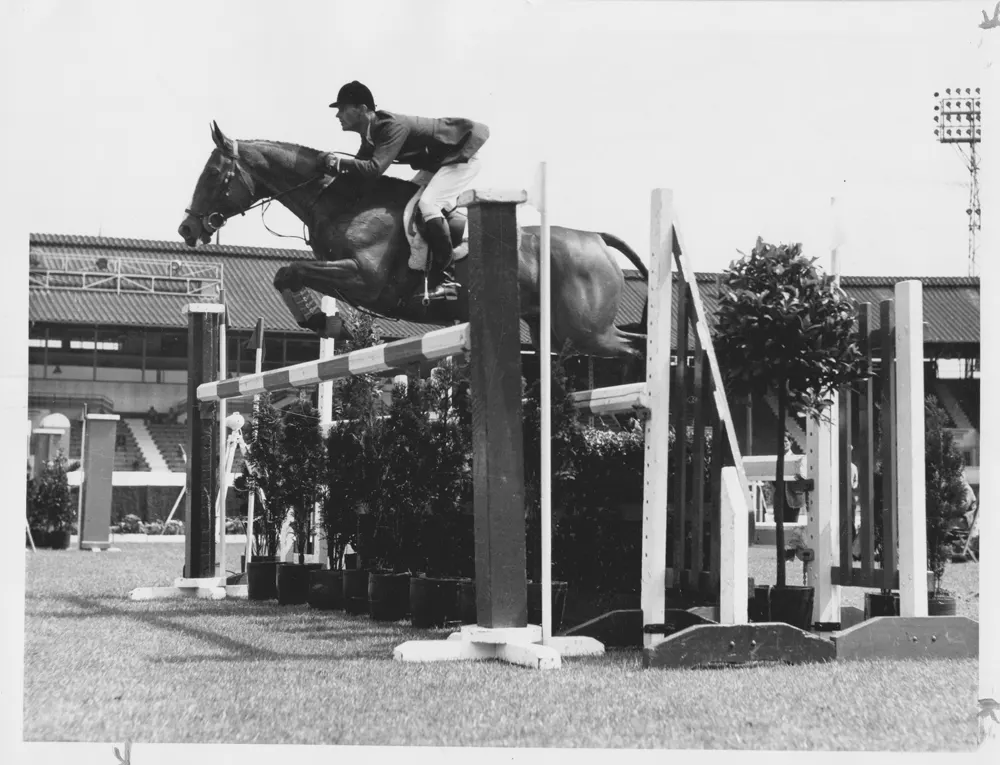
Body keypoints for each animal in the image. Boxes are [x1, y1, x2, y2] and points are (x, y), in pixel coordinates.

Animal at [179, 121, 648, 360]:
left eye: (213, 174)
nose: (187, 230)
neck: (344, 200)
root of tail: (595, 239)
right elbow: (288, 275)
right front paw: (325, 324)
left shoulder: (364, 278)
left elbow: (288, 270)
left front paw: (324, 323)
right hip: (554, 331)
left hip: (586, 331)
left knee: (635, 348)